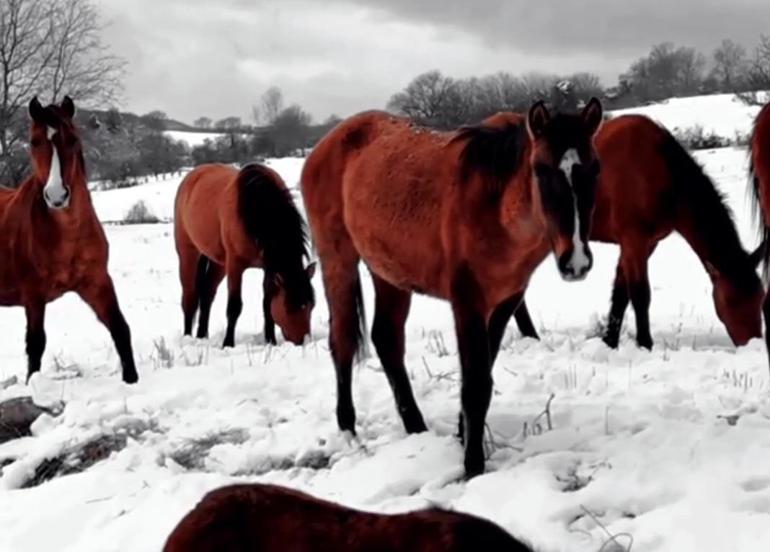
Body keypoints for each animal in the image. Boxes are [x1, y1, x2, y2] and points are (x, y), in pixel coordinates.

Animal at [0, 98, 136, 384]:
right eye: (34, 141)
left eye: (72, 139)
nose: (57, 196)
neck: (67, 235)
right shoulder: (33, 294)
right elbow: (36, 344)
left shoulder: (97, 283)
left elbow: (120, 329)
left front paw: (132, 380)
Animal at [174, 162, 316, 348]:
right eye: (287, 307)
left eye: (311, 305)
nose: (303, 342)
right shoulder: (235, 265)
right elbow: (234, 306)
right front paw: (228, 343)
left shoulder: (268, 267)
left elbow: (267, 304)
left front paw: (270, 341)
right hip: (188, 253)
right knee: (189, 297)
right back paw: (188, 337)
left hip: (219, 262)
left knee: (207, 294)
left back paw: (202, 335)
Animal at [304, 100, 604, 478]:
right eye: (540, 169)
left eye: (595, 168)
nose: (575, 260)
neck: (494, 208)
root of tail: (325, 145)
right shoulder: (467, 302)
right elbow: (475, 386)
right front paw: (472, 463)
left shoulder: (504, 303)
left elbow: (483, 375)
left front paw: (463, 435)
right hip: (338, 262)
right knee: (342, 341)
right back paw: (348, 427)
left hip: (389, 275)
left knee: (386, 340)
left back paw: (415, 425)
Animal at [510, 113, 760, 350]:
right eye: (732, 301)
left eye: (761, 296)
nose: (754, 342)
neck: (661, 171)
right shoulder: (634, 240)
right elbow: (640, 294)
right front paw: (645, 344)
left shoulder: (645, 243)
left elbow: (621, 294)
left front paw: (610, 342)